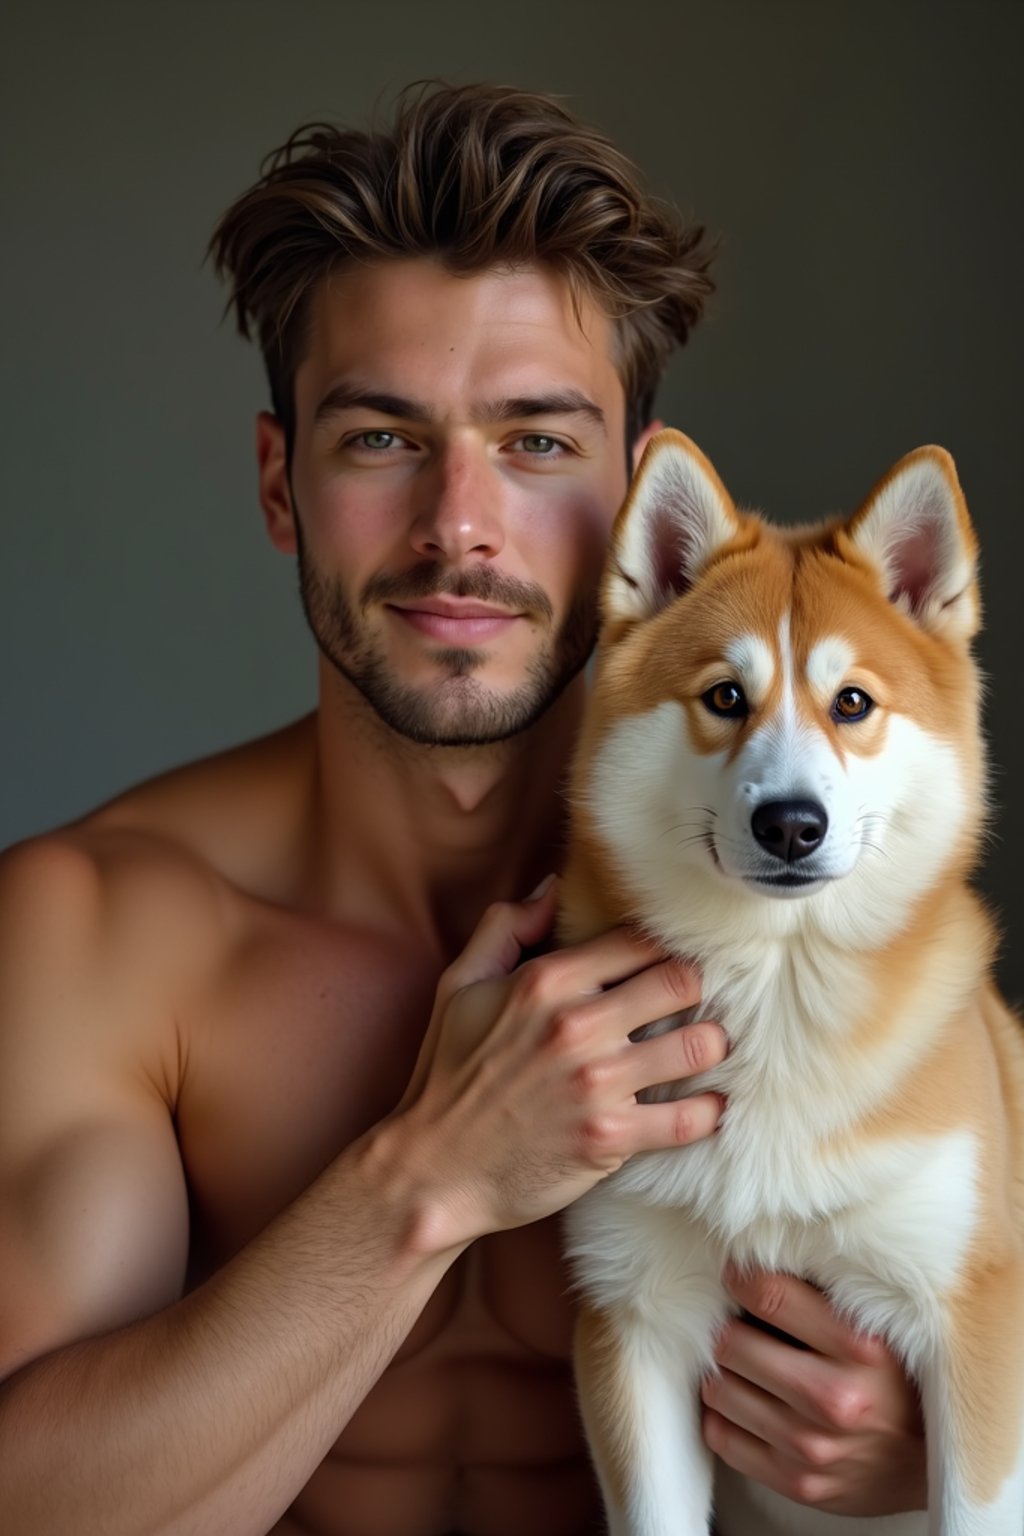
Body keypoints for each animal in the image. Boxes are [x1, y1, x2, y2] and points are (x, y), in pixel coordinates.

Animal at [561, 430, 1024, 1536]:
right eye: (726, 697)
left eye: (851, 702)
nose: (790, 824)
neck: (779, 988)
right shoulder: (632, 1311)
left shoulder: (970, 1314)